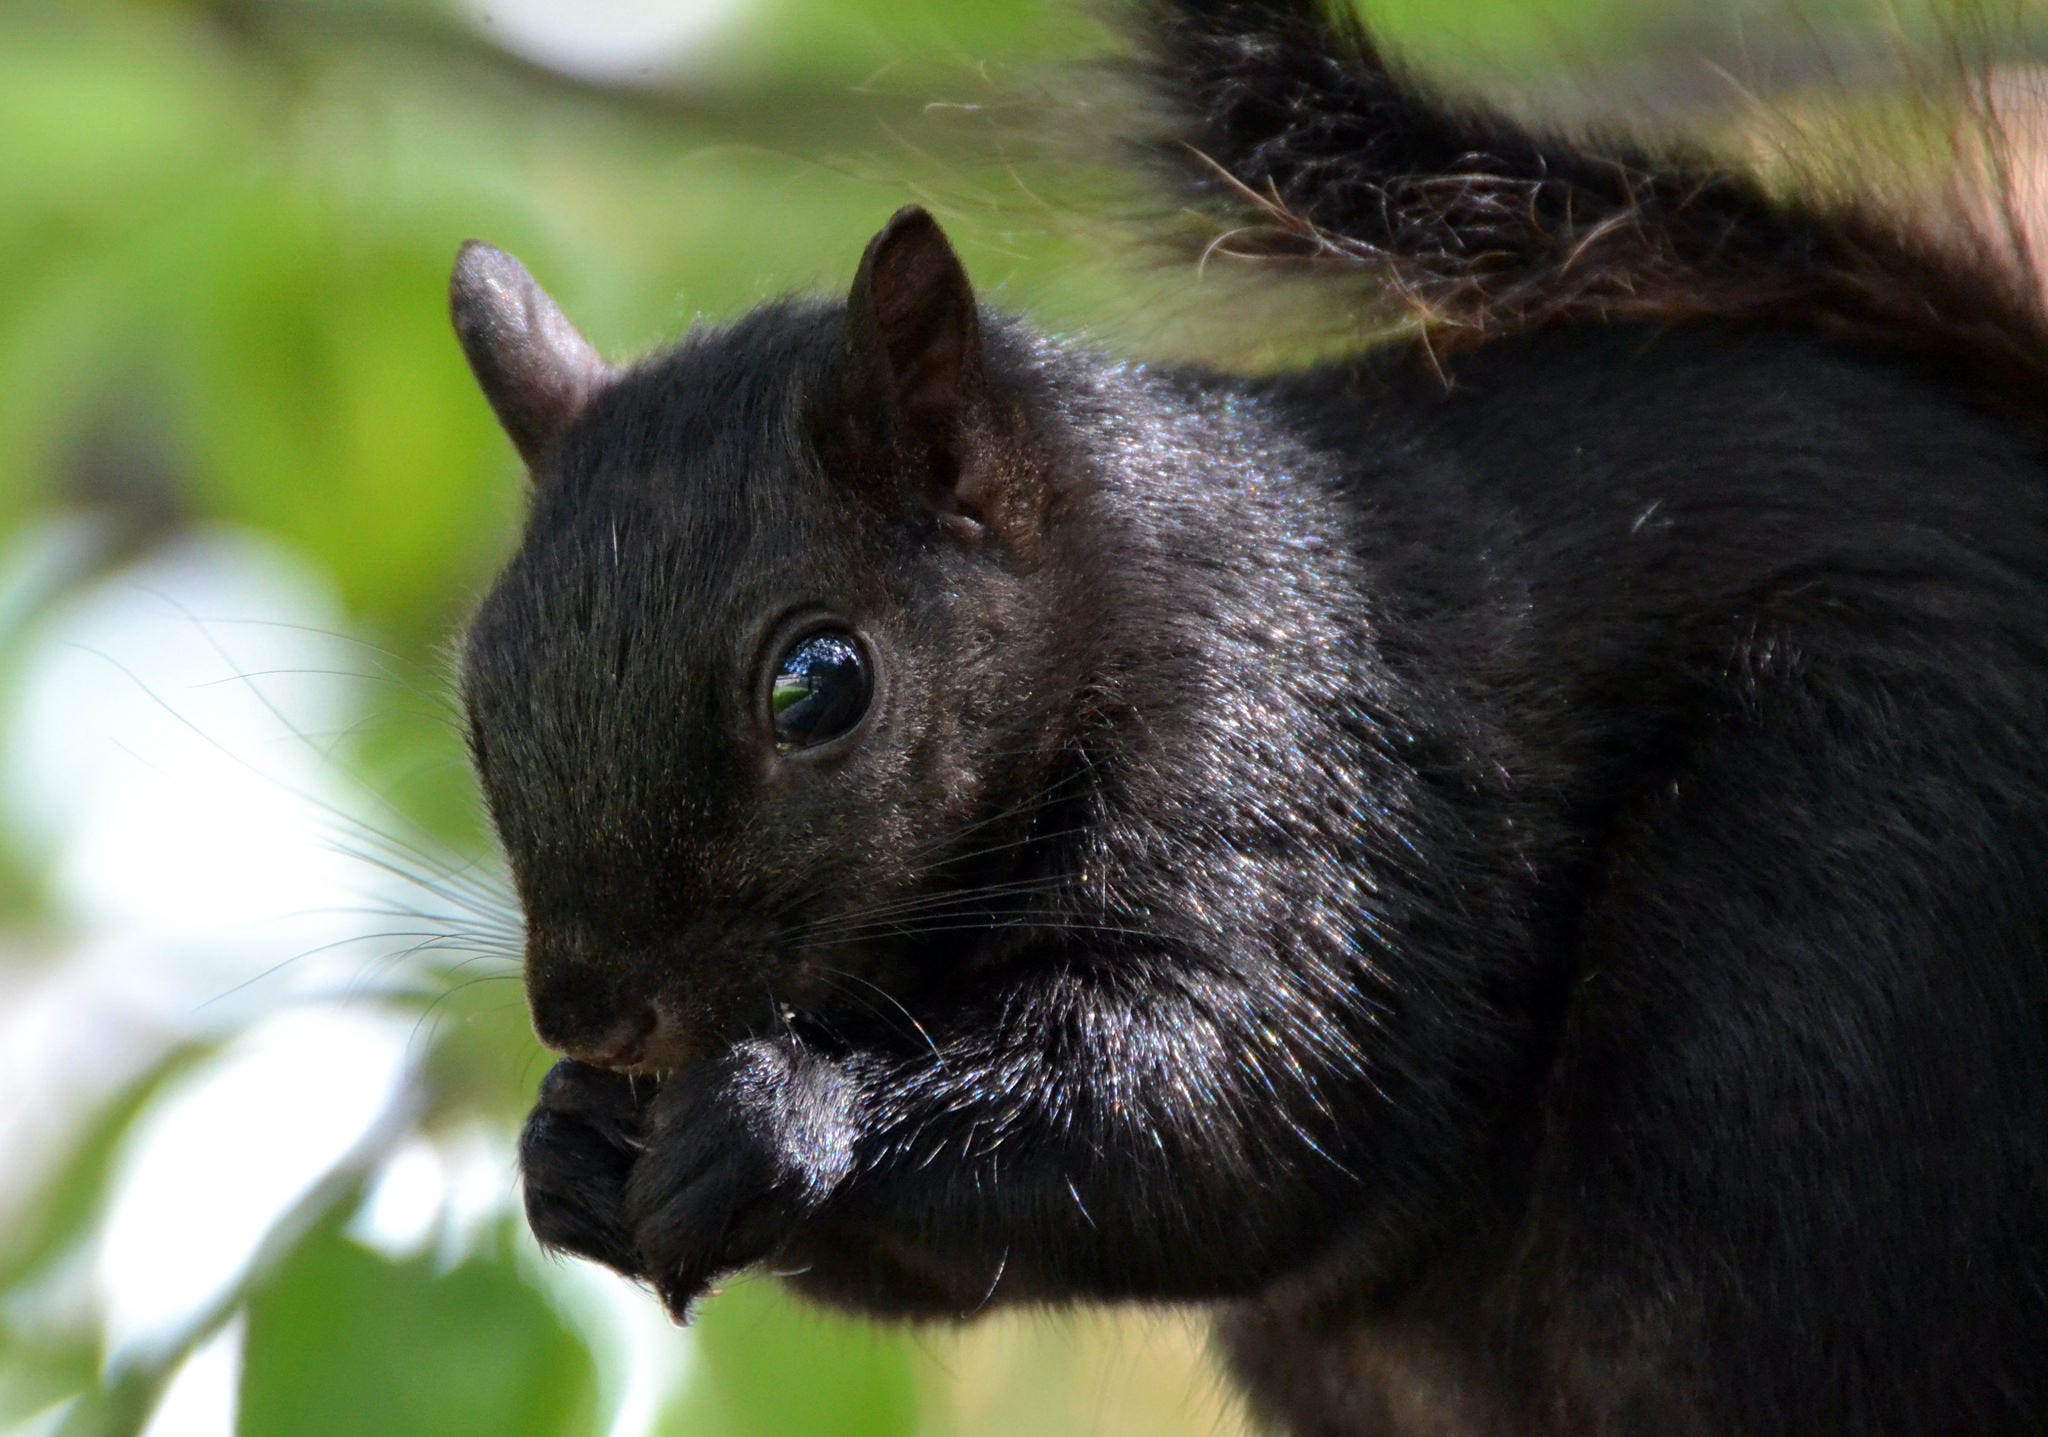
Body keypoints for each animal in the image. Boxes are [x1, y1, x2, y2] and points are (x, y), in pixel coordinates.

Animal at [448, 5, 2048, 1432]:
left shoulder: (1301, 769)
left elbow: (1225, 1104)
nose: (588, 1013)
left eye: (819, 683)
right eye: (475, 699)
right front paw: (566, 1150)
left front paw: (785, 1113)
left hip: (1831, 951)